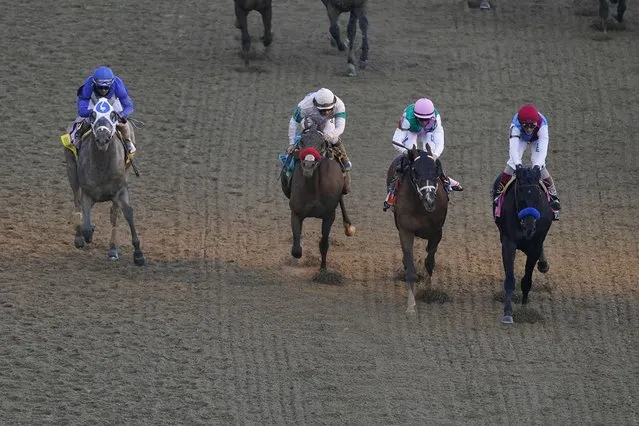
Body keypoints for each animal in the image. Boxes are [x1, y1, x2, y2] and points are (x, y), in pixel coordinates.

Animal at [63, 98, 146, 264]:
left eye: (113, 115)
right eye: (93, 115)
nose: (102, 138)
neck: (102, 166)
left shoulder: (120, 190)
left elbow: (125, 213)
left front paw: (137, 253)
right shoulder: (87, 193)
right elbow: (86, 224)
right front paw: (86, 235)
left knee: (113, 213)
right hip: (71, 170)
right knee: (77, 202)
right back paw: (79, 237)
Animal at [384, 143, 450, 312]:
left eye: (435, 170)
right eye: (415, 171)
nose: (429, 200)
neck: (421, 208)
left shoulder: (437, 232)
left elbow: (429, 261)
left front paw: (429, 289)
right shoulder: (406, 230)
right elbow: (410, 264)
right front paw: (411, 303)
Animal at [496, 166, 556, 322]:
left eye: (537, 196)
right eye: (520, 193)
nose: (529, 228)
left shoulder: (535, 244)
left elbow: (527, 280)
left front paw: (524, 308)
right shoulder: (508, 243)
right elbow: (510, 279)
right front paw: (508, 313)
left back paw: (543, 264)